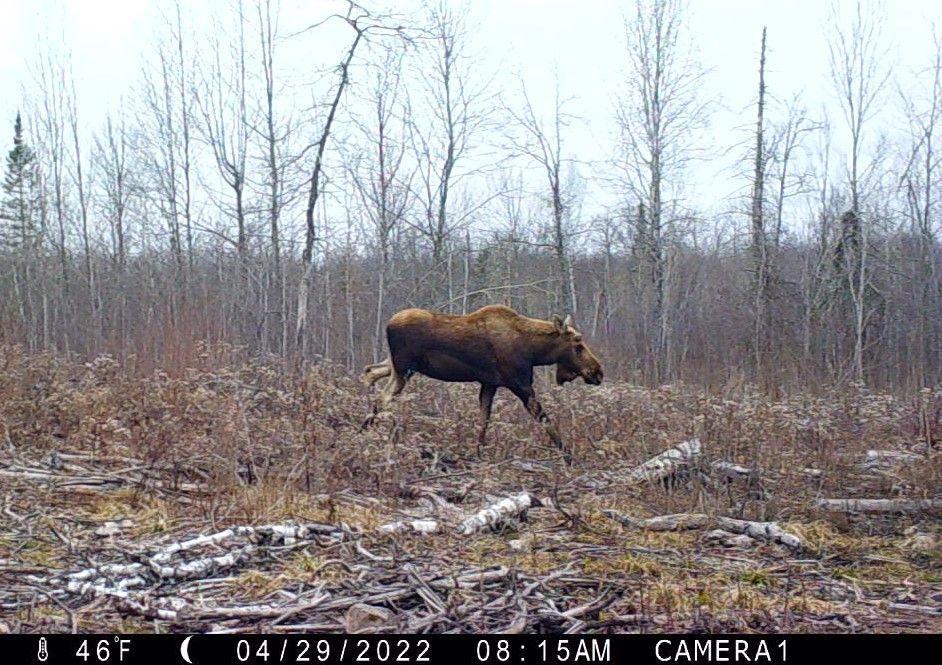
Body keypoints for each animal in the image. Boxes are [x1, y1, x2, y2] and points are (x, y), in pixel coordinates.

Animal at [362, 304, 603, 464]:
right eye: (577, 345)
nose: (598, 372)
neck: (534, 352)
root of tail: (388, 324)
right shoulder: (520, 384)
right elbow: (544, 419)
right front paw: (568, 456)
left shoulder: (489, 384)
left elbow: (483, 421)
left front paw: (477, 455)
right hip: (404, 369)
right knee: (381, 397)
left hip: (395, 366)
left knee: (369, 374)